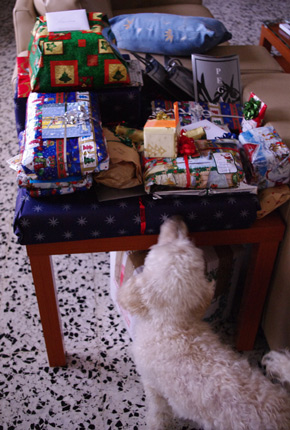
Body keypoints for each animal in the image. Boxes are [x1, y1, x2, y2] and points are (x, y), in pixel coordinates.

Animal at [117, 218, 290, 430]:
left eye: (163, 245)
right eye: (183, 242)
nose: (176, 218)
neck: (173, 324)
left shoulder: (152, 384)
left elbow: (159, 411)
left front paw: (154, 423)